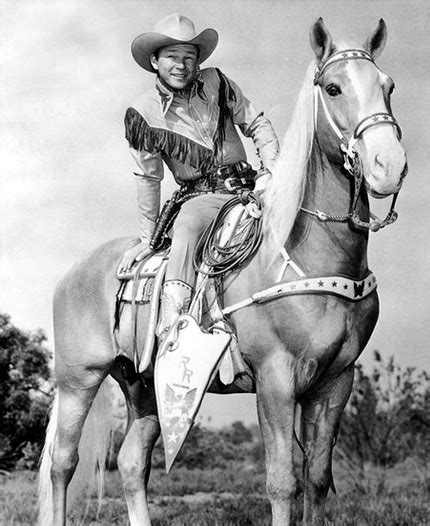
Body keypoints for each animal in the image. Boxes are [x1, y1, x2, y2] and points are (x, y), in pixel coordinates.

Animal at [37, 17, 406, 526]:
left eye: (388, 86)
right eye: (333, 88)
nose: (388, 165)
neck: (307, 252)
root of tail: (72, 274)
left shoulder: (336, 382)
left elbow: (316, 480)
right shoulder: (276, 379)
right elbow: (283, 482)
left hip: (142, 386)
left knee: (131, 463)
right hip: (79, 380)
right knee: (63, 463)